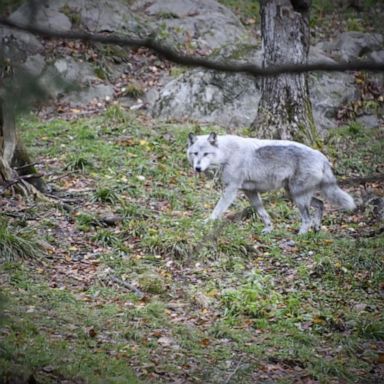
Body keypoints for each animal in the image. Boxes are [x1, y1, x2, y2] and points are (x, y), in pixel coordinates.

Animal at [188, 132, 356, 234]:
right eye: (195, 153)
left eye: (206, 154)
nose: (197, 168)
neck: (226, 154)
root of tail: (322, 157)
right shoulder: (250, 192)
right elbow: (262, 213)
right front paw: (268, 229)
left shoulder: (231, 190)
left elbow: (217, 210)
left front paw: (206, 223)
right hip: (293, 194)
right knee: (321, 204)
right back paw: (317, 228)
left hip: (297, 197)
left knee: (307, 218)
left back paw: (302, 235)